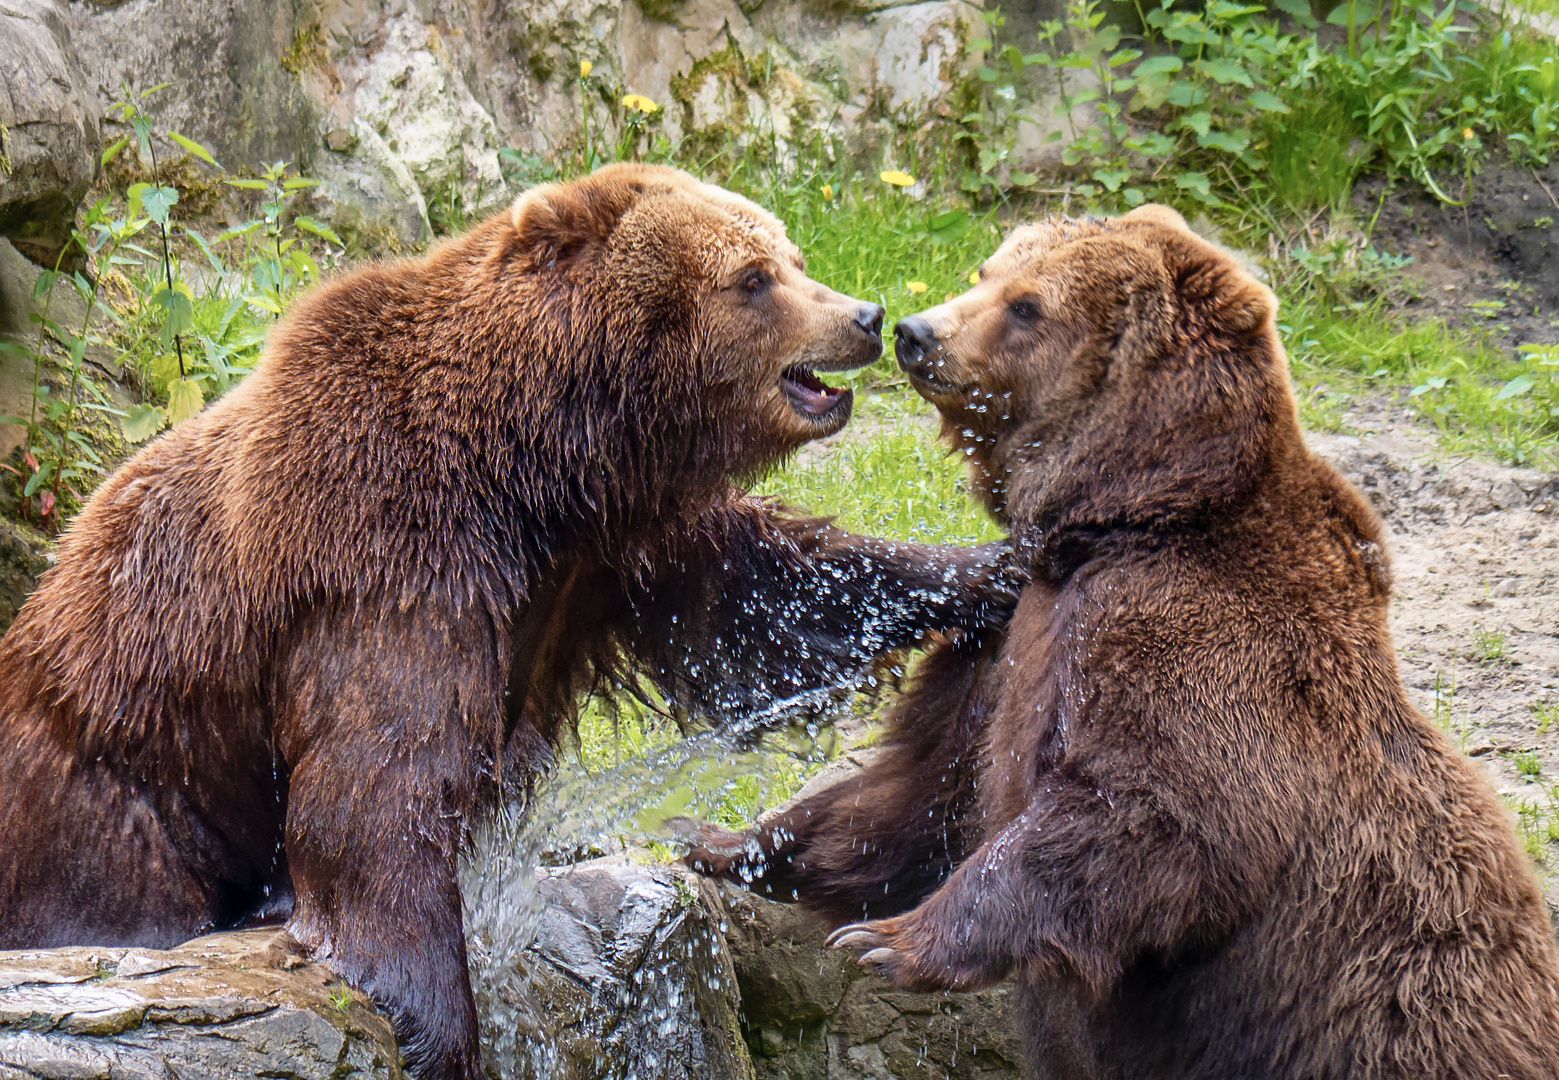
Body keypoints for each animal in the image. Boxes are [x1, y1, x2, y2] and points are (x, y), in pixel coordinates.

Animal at [0, 162, 1016, 1078]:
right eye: (753, 277)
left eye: (793, 256)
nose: (865, 316)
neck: (530, 458)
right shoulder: (384, 545)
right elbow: (379, 776)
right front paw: (432, 1015)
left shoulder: (615, 541)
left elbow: (762, 591)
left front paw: (983, 573)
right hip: (118, 787)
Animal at [689, 204, 1559, 1078]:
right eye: (986, 270)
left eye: (1027, 305)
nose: (913, 330)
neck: (1121, 513)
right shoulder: (1013, 639)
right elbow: (923, 783)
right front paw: (728, 842)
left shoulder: (1183, 638)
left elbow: (1154, 814)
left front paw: (888, 940)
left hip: (1391, 1020)